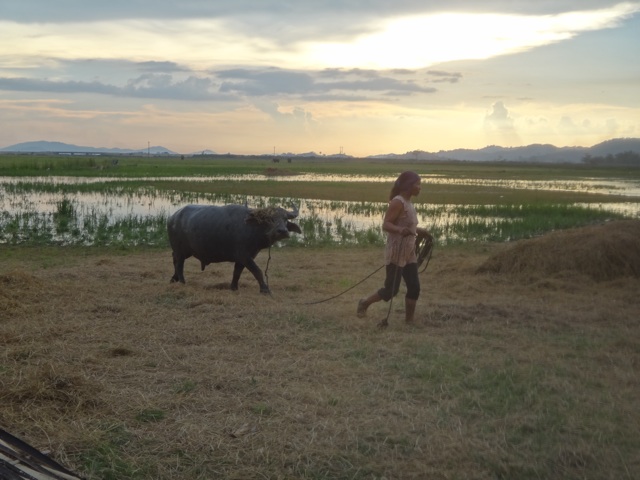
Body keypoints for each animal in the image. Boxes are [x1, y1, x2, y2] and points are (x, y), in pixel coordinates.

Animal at [168, 203, 302, 292]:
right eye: (270, 219)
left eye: (285, 219)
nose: (282, 231)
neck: (252, 228)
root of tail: (172, 217)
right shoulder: (244, 256)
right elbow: (257, 271)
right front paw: (265, 289)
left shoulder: (244, 258)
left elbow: (237, 272)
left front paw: (233, 287)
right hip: (180, 250)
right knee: (179, 264)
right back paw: (182, 281)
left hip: (185, 251)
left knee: (174, 260)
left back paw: (174, 278)